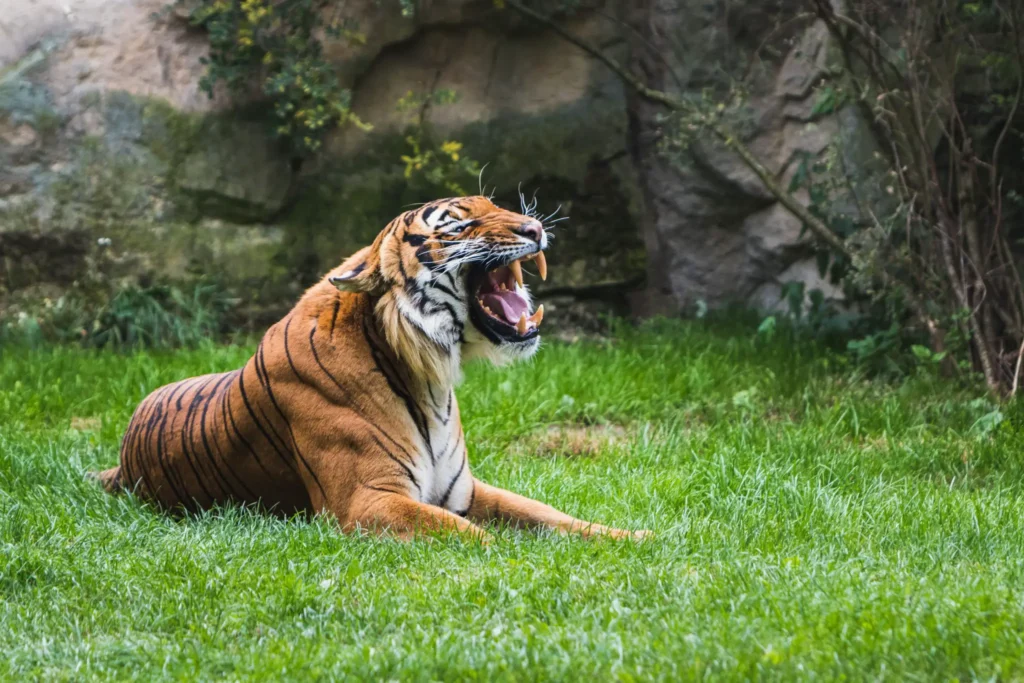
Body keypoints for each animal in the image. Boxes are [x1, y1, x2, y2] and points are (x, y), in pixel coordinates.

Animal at [95, 195, 650, 542]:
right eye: (461, 224)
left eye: (499, 207)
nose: (534, 228)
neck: (428, 378)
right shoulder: (367, 500)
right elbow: (477, 537)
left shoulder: (464, 491)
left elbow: (550, 515)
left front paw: (635, 537)